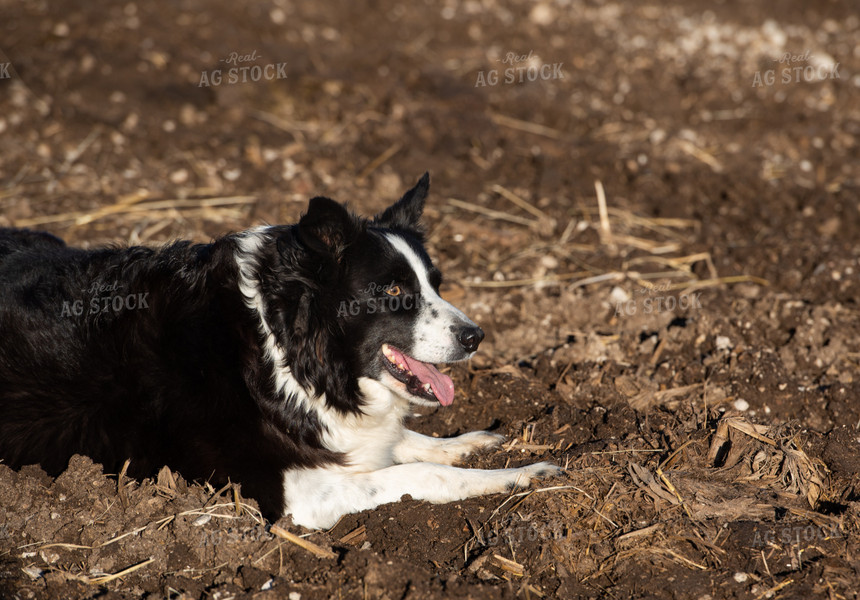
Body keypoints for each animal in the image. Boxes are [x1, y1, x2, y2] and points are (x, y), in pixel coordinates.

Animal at [0, 175, 556, 528]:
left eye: (435, 284)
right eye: (394, 291)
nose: (475, 336)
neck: (280, 348)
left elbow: (406, 443)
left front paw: (471, 443)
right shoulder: (292, 494)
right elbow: (417, 472)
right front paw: (516, 477)